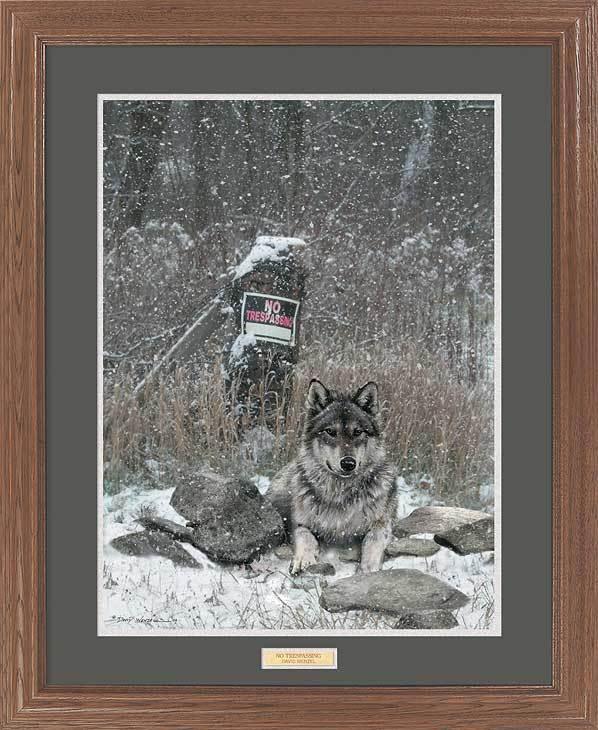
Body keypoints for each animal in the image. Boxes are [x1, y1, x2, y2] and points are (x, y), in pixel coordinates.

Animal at [269, 379, 397, 574]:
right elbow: (305, 536)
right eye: (330, 432)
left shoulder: (382, 523)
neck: (340, 494)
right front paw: (303, 559)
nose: (348, 463)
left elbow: (373, 542)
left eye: (358, 432)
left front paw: (369, 570)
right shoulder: (300, 523)